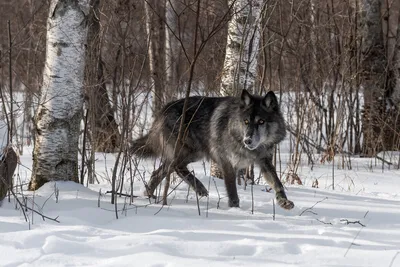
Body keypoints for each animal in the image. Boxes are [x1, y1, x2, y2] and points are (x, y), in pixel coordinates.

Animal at [131, 90, 294, 211]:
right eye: (246, 121)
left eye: (261, 121)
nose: (247, 140)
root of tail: (163, 110)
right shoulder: (227, 163)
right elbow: (232, 191)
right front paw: (235, 209)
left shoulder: (264, 161)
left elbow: (277, 183)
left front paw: (283, 202)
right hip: (192, 151)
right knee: (176, 167)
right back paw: (200, 188)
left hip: (191, 154)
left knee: (158, 172)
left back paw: (149, 195)